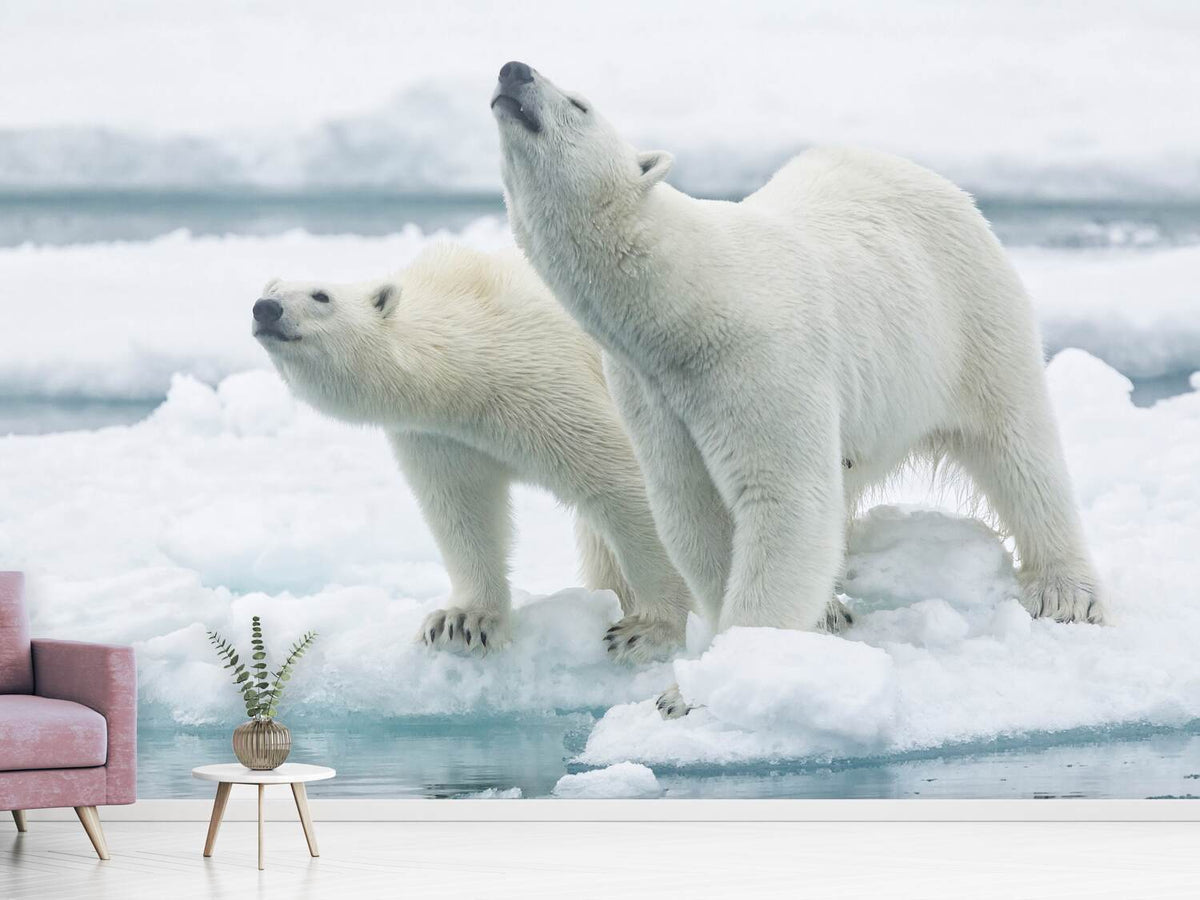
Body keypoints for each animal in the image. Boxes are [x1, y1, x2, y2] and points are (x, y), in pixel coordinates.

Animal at [256, 243, 700, 667]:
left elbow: (624, 483)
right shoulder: (442, 435)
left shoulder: (548, 382)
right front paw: (462, 622)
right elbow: (463, 508)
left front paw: (649, 631)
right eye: (271, 288)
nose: (265, 309)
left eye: (321, 295)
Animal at [489, 63, 1104, 643]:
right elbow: (693, 509)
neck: (686, 300)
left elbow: (787, 499)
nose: (513, 70)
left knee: (1018, 447)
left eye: (578, 103)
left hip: (968, 316)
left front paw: (729, 664)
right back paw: (831, 606)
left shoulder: (759, 359)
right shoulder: (651, 390)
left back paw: (1067, 593)